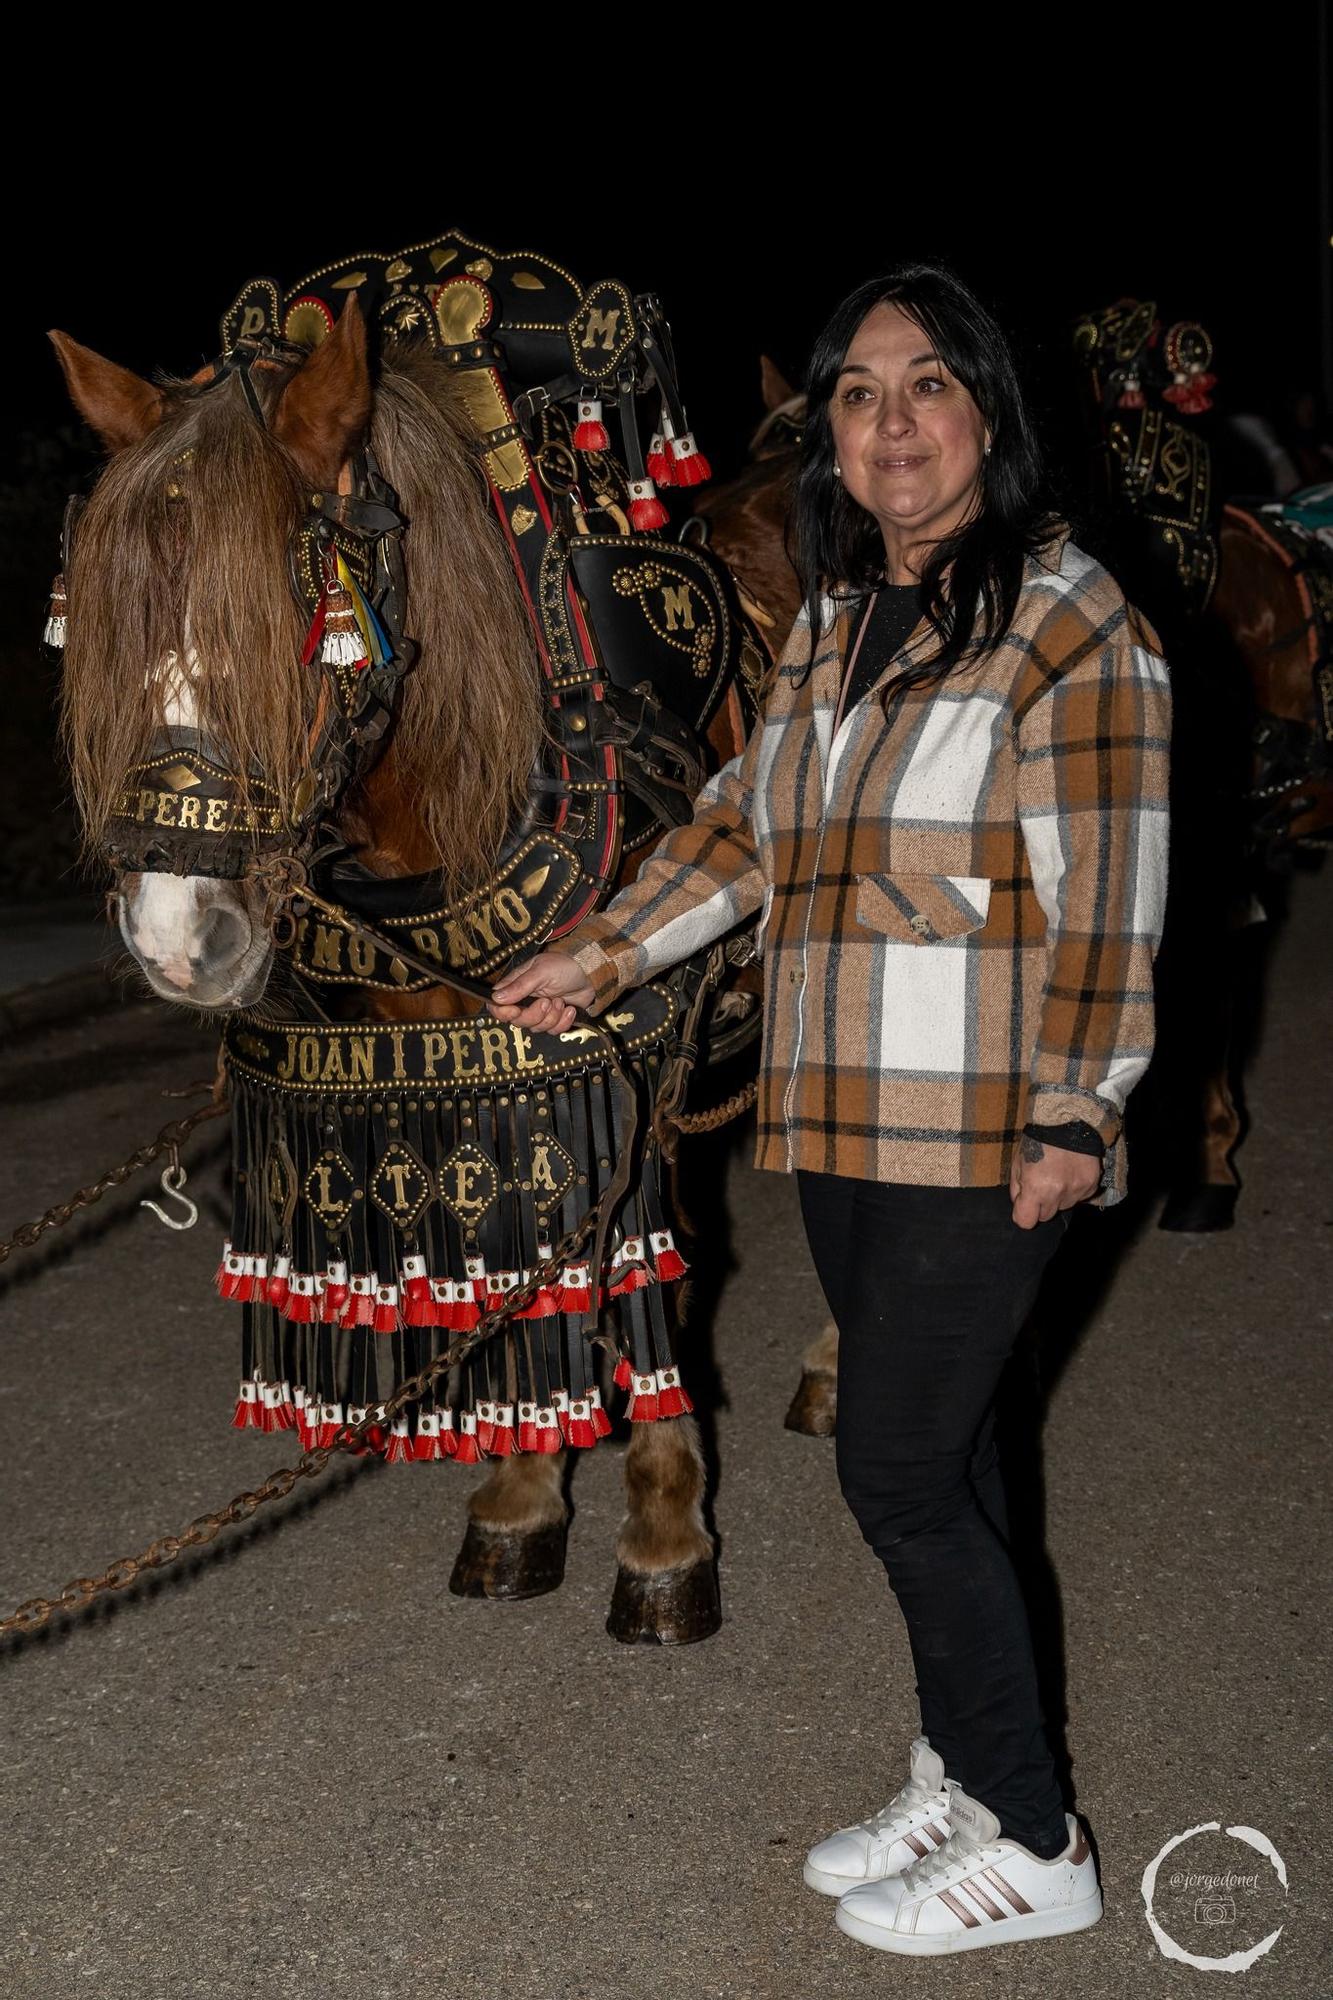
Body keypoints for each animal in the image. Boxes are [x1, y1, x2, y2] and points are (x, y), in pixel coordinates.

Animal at [46, 238, 764, 1640]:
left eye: (299, 616)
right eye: (106, 623)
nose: (176, 937)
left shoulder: (621, 1053)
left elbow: (631, 1258)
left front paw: (663, 1530)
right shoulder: (452, 1053)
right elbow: (510, 1270)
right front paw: (521, 1496)